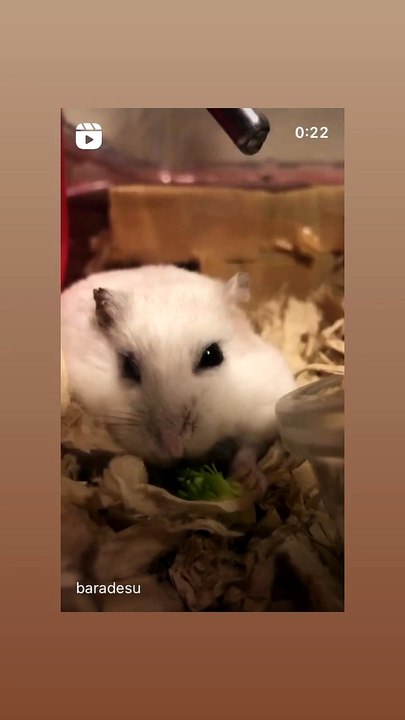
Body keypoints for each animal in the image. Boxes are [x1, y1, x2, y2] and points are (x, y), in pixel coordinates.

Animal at [61, 265, 295, 489]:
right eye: (129, 367)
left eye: (213, 355)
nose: (174, 449)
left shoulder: (263, 407)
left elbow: (249, 447)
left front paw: (249, 482)